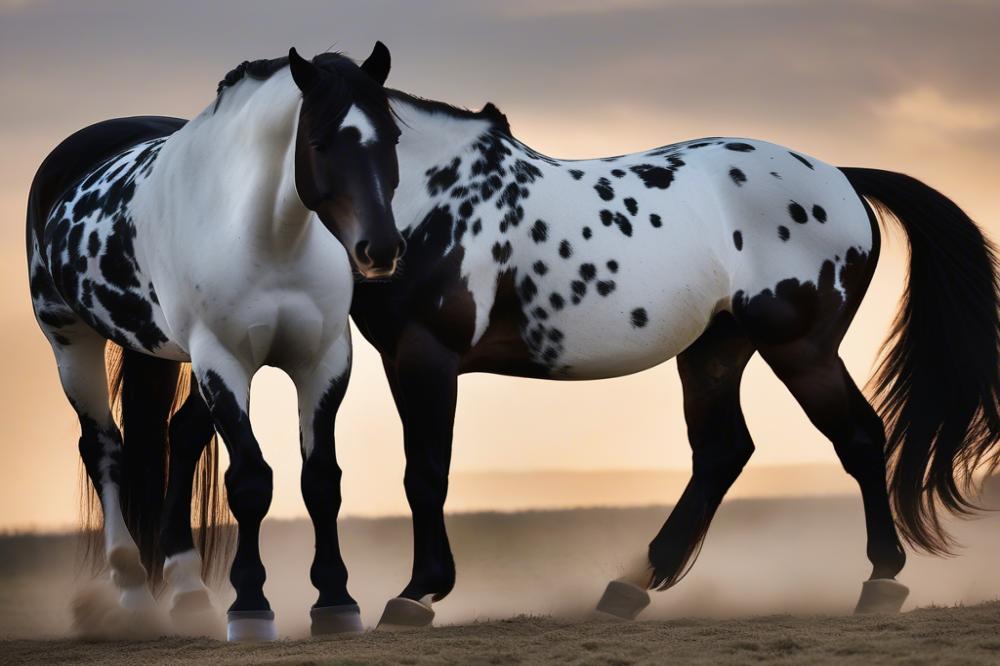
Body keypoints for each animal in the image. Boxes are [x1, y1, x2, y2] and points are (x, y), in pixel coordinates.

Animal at [27, 45, 404, 640]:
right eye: (319, 142)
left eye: (391, 137)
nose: (380, 250)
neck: (268, 236)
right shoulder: (223, 362)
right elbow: (249, 480)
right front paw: (250, 606)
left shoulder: (323, 362)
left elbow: (321, 480)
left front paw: (336, 602)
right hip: (70, 342)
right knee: (104, 448)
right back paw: (134, 590)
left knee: (177, 438)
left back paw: (186, 589)